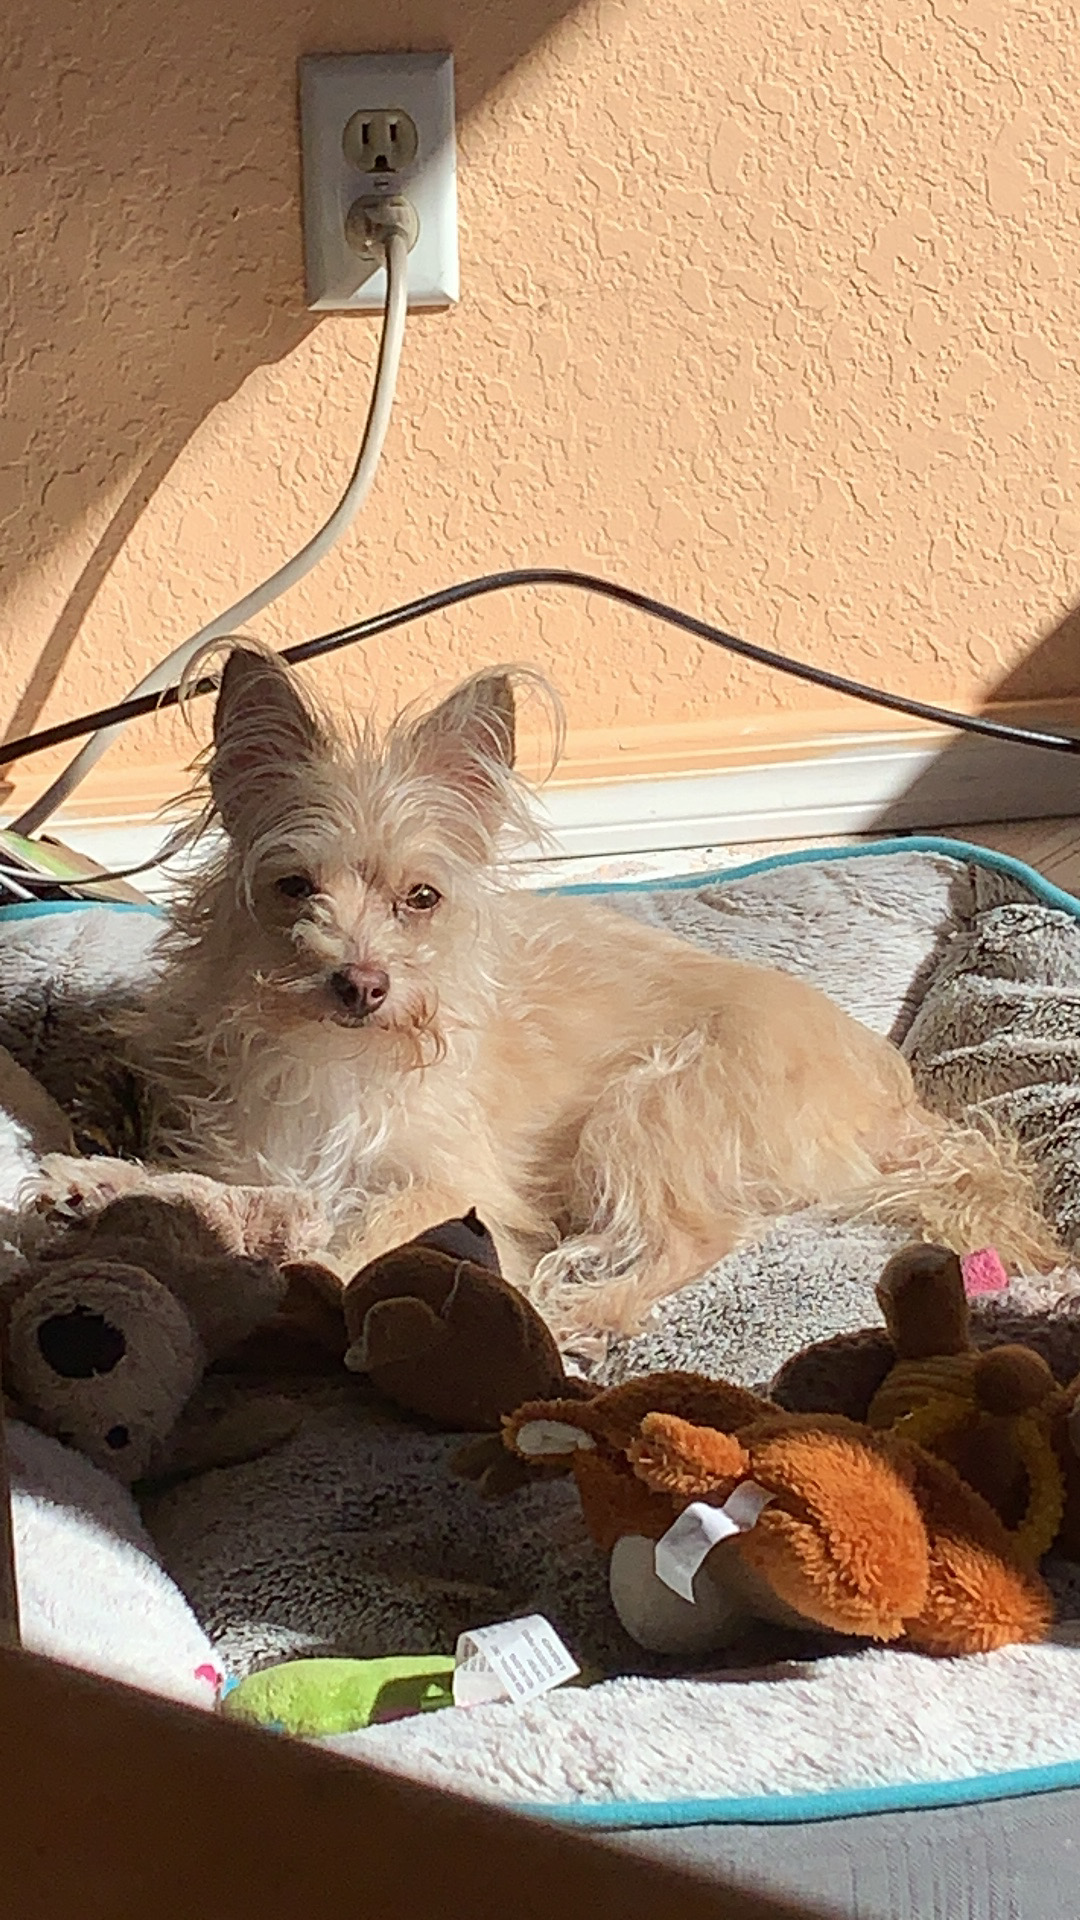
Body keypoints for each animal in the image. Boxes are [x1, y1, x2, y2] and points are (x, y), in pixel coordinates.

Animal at [45, 646, 1063, 1345]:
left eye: (423, 899)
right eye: (296, 889)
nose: (361, 982)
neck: (341, 1057)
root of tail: (902, 1109)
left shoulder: (452, 1186)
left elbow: (344, 1244)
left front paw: (280, 1284)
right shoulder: (269, 1155)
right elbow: (221, 1192)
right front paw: (108, 1186)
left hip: (649, 1106)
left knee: (704, 1235)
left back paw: (585, 1309)